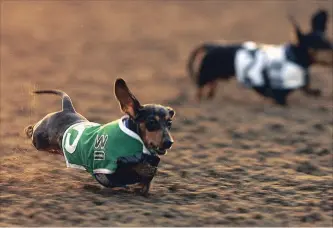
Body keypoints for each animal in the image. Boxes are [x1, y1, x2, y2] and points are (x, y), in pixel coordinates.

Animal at [24, 78, 175, 196]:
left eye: (169, 123)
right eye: (152, 122)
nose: (169, 142)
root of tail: (67, 109)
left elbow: (145, 176)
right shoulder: (104, 174)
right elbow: (132, 169)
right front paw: (144, 168)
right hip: (39, 140)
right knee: (32, 131)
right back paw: (28, 129)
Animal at [188, 8, 330, 105]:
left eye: (329, 43)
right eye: (319, 44)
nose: (331, 50)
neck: (295, 58)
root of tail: (211, 46)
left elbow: (306, 89)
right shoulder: (276, 90)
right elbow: (279, 96)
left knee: (211, 85)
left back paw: (210, 97)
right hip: (205, 74)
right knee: (200, 88)